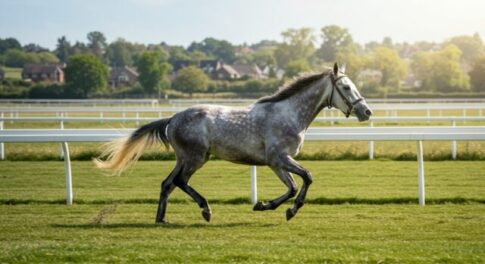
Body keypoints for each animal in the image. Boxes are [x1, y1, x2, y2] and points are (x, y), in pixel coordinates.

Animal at [93, 63, 370, 223]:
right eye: (346, 87)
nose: (366, 112)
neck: (290, 113)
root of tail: (173, 118)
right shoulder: (278, 159)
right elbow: (303, 180)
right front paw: (275, 208)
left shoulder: (278, 162)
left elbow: (297, 184)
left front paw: (274, 207)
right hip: (196, 158)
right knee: (180, 181)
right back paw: (205, 210)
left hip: (185, 158)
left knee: (167, 183)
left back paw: (162, 219)